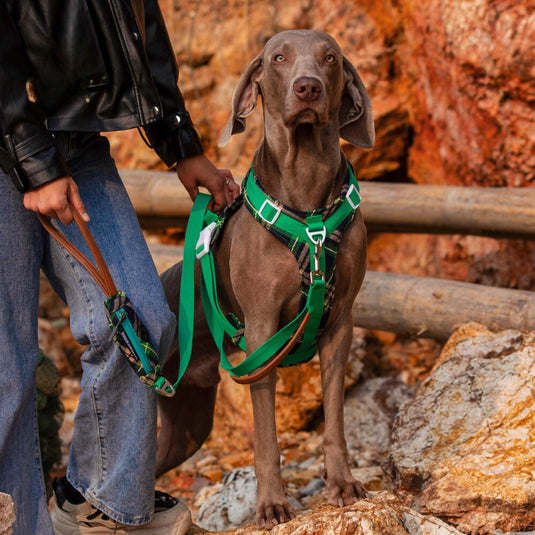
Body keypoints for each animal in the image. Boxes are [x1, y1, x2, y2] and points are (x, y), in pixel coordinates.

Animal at [158, 29, 376, 528]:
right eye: (279, 58)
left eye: (330, 58)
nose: (308, 88)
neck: (309, 206)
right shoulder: (261, 332)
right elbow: (266, 438)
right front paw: (273, 502)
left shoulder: (341, 323)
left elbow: (335, 420)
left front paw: (342, 483)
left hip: (187, 425)